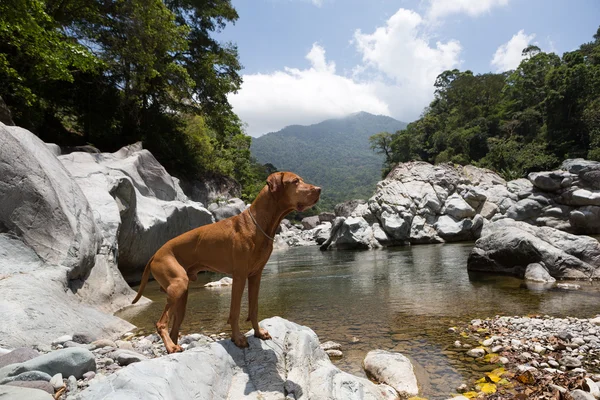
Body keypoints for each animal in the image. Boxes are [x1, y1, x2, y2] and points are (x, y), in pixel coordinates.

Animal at [131, 172, 318, 354]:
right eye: (295, 181)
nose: (319, 190)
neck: (257, 224)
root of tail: (155, 255)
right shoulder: (239, 276)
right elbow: (235, 311)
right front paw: (238, 338)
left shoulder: (255, 276)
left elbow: (254, 308)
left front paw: (258, 332)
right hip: (178, 284)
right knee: (161, 323)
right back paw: (171, 346)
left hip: (181, 296)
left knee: (174, 329)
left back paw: (173, 348)